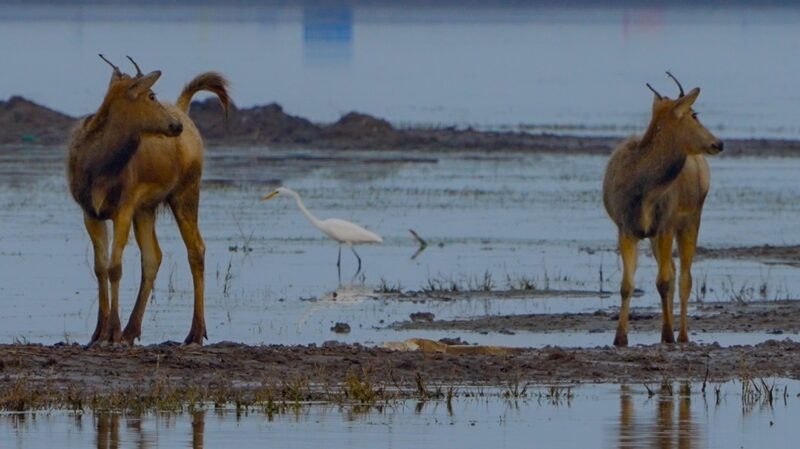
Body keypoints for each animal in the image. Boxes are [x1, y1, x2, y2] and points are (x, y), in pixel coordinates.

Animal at [67, 55, 230, 346]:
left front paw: (112, 332)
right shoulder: (90, 212)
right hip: (146, 208)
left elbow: (115, 267)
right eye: (152, 95)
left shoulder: (123, 207)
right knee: (153, 256)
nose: (175, 125)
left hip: (185, 193)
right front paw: (98, 332)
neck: (98, 168)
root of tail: (183, 111)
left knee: (196, 249)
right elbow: (99, 268)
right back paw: (132, 329)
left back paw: (195, 332)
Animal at [602, 72, 723, 347]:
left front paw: (667, 335)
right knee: (676, 271)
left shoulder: (666, 224)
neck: (644, 191)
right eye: (694, 114)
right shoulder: (626, 227)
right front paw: (620, 337)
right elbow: (627, 284)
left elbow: (664, 282)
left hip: (691, 219)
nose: (718, 143)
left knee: (685, 277)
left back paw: (683, 334)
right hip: (656, 235)